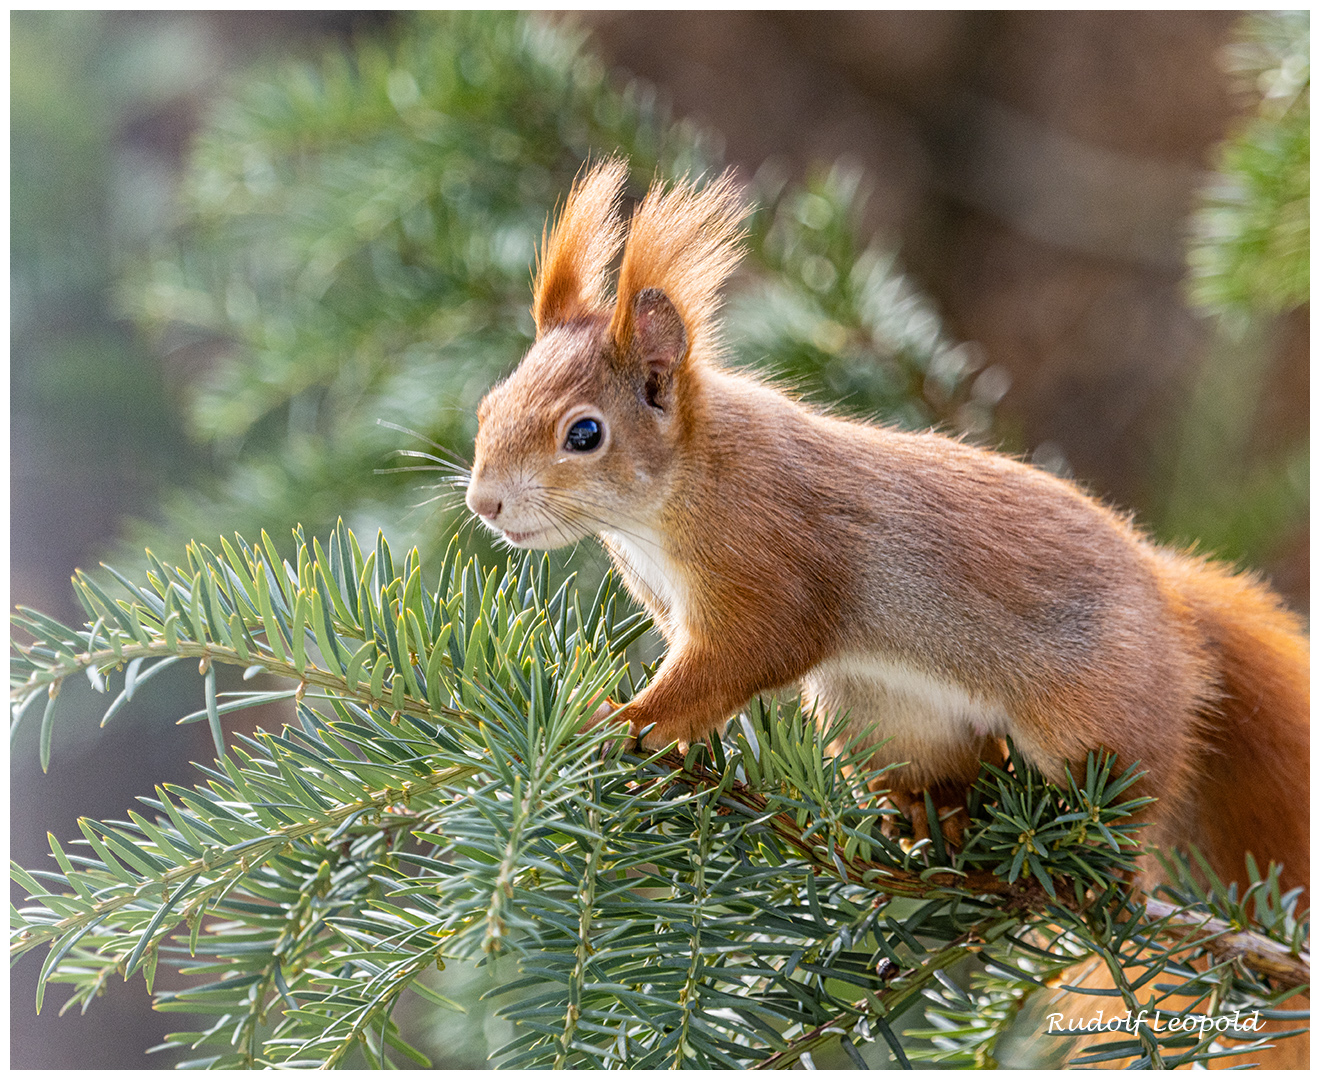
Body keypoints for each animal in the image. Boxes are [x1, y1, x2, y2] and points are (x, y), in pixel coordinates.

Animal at [467, 155, 1309, 897]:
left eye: (584, 434)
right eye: (488, 403)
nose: (483, 504)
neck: (668, 501)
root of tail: (1171, 600)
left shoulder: (769, 553)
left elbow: (749, 652)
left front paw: (631, 719)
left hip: (1098, 714)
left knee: (1126, 802)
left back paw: (1086, 868)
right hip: (883, 715)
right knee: (955, 774)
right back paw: (930, 825)